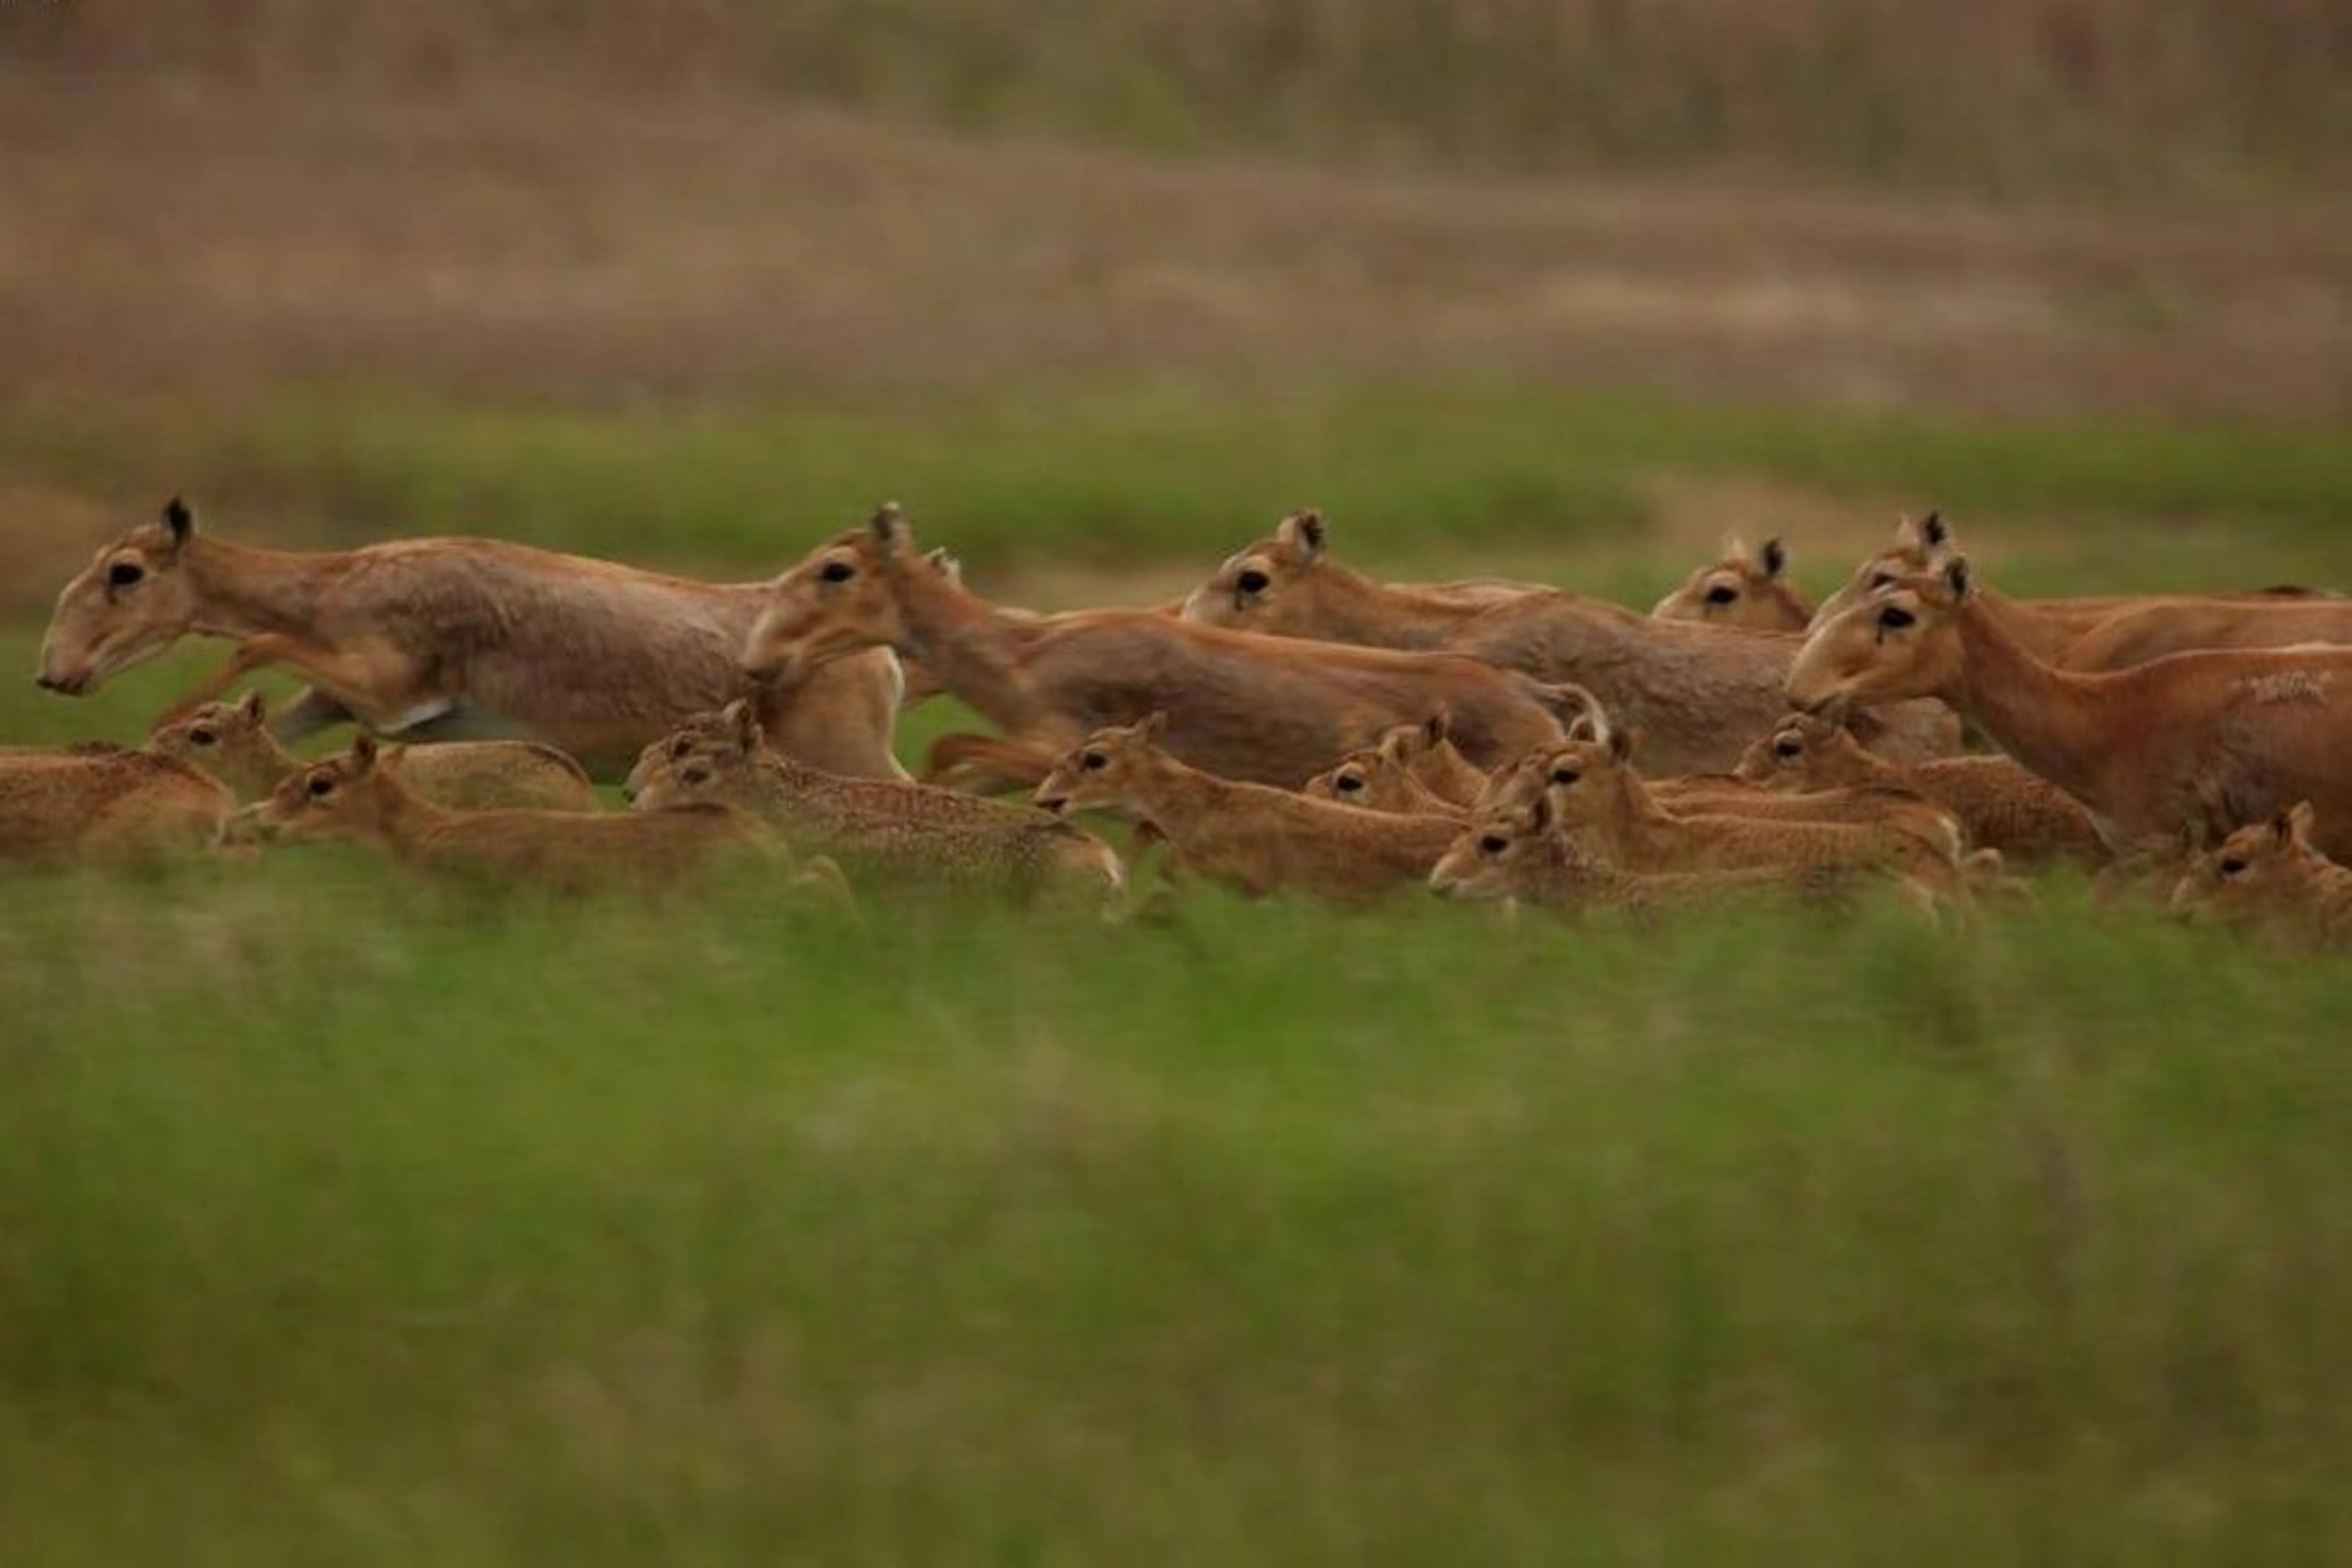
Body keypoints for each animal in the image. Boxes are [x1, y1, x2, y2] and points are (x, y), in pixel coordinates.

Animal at [46, 496, 912, 780]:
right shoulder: (334, 700)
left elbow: (254, 643)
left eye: (124, 572)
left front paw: (160, 724)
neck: (339, 588)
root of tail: (884, 659)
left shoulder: (394, 695)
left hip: (849, 755)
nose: (53, 673)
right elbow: (276, 713)